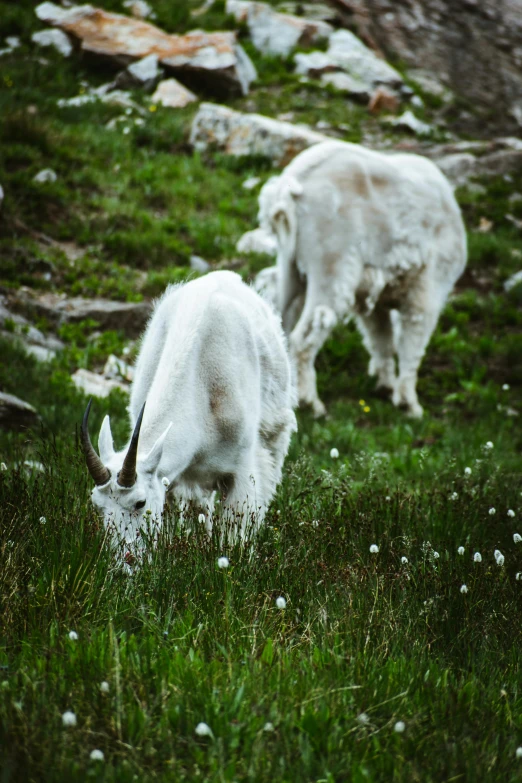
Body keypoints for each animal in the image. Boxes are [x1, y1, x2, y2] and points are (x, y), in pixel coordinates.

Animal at [250, 143, 466, 420]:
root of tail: (289, 190)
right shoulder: (427, 290)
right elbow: (411, 346)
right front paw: (409, 404)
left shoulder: (374, 302)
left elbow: (381, 340)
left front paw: (385, 386)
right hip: (332, 267)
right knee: (303, 339)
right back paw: (311, 403)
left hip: (291, 268)